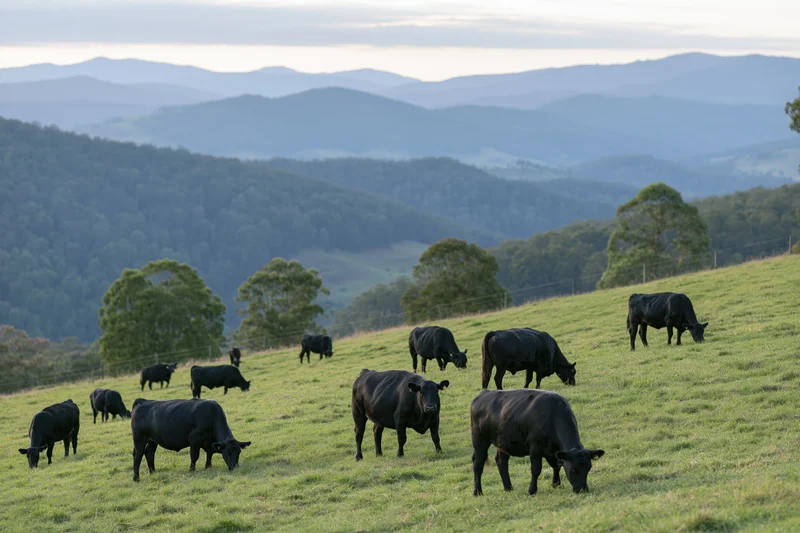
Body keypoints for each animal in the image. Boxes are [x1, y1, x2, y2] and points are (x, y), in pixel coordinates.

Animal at [470, 389, 604, 496]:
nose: (582, 489)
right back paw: (477, 492)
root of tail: (484, 393)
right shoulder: (535, 449)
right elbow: (536, 470)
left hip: (502, 442)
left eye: (588, 468)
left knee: (501, 461)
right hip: (479, 440)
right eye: (573, 470)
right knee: (478, 464)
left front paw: (556, 484)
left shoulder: (553, 451)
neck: (553, 416)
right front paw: (532, 490)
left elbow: (556, 465)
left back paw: (508, 488)